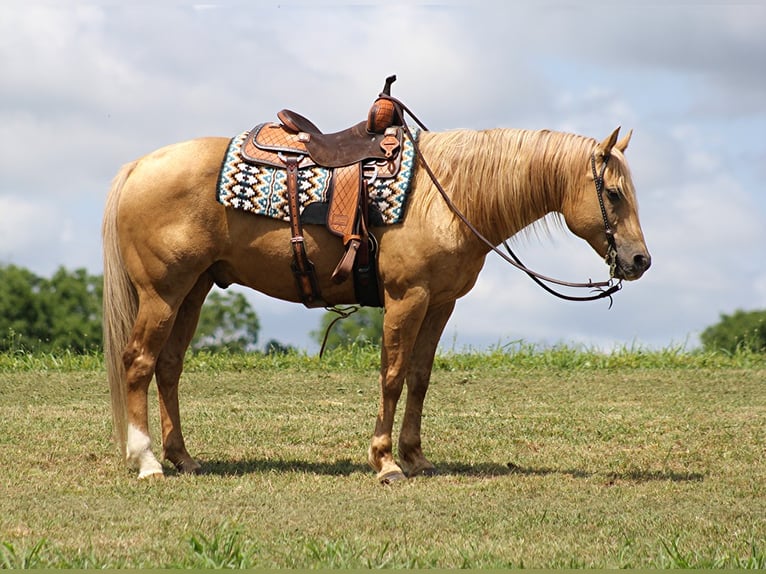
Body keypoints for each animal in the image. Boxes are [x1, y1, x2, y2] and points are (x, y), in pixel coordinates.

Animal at [102, 124, 656, 484]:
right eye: (613, 193)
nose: (639, 260)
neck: (448, 194)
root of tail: (137, 167)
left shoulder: (440, 304)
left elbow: (419, 377)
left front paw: (416, 457)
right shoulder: (406, 298)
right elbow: (391, 375)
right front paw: (386, 462)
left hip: (192, 290)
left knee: (169, 367)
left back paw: (184, 458)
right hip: (162, 294)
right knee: (139, 363)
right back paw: (147, 461)